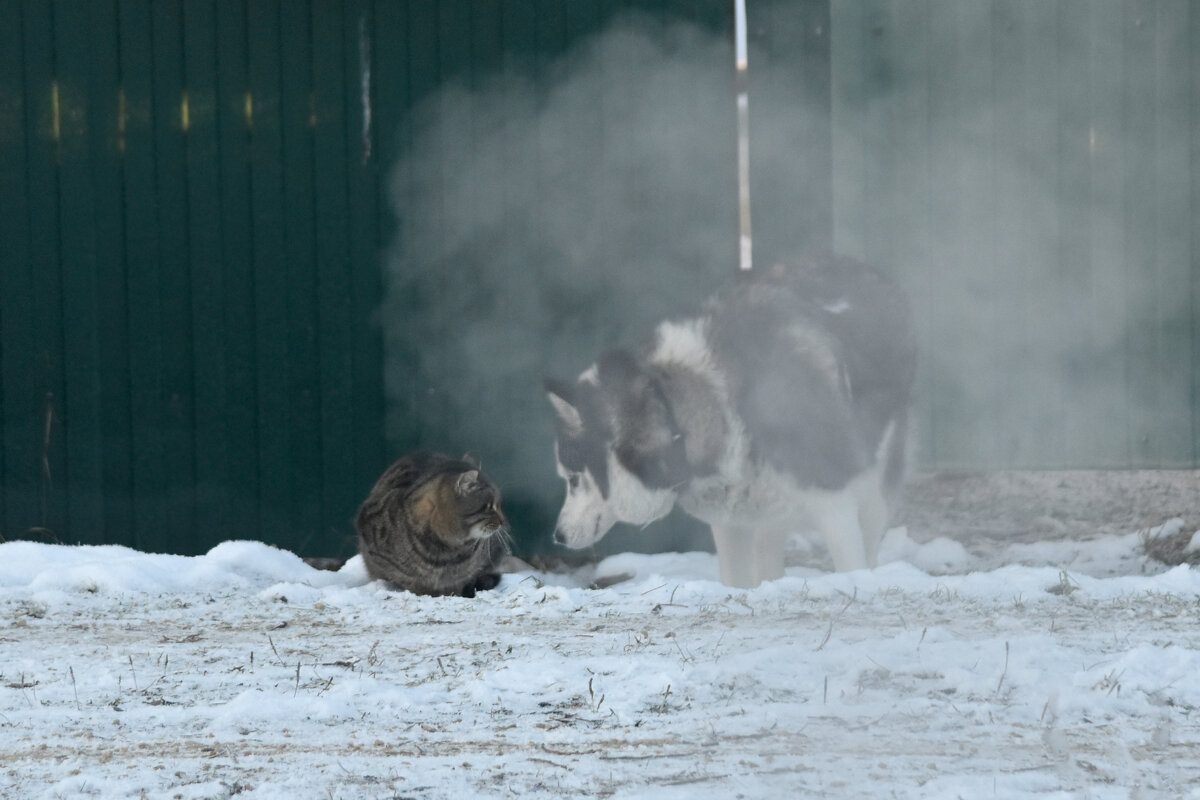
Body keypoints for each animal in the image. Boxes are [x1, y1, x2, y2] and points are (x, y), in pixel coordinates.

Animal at [352, 453, 508, 597]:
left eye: (499, 505)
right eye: (489, 507)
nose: (503, 520)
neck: (448, 551)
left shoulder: (463, 575)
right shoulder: (378, 554)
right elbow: (406, 578)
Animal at [547, 256, 916, 587]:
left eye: (574, 479)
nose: (557, 536)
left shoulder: (836, 506)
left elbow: (852, 566)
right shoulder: (730, 523)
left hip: (873, 490)